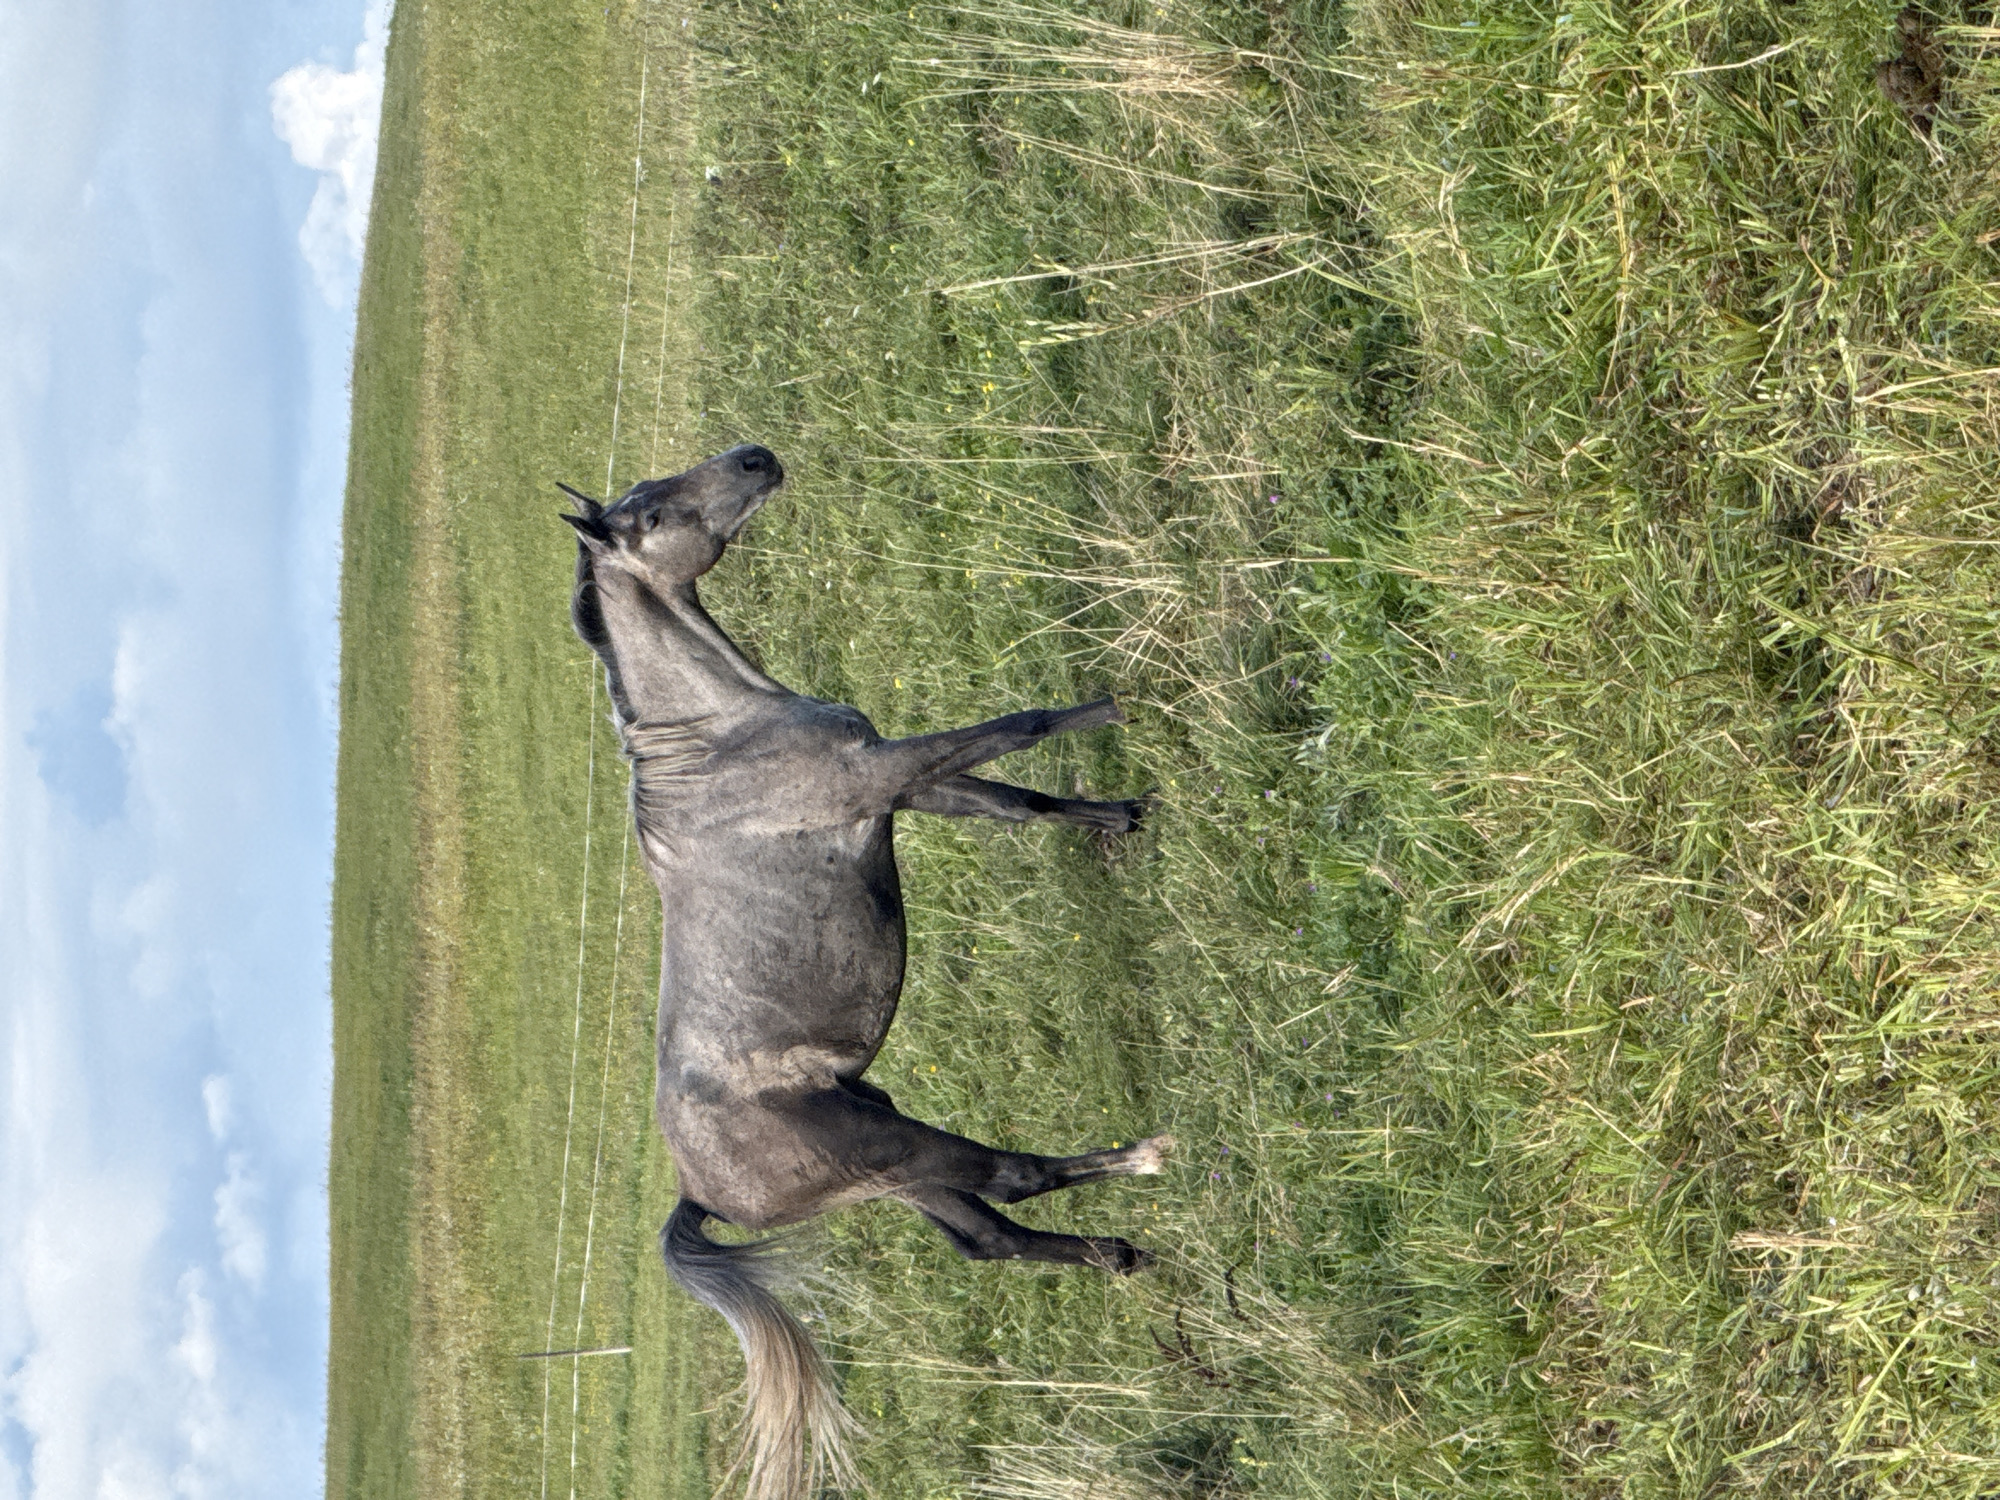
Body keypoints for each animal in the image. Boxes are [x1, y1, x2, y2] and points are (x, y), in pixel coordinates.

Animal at [558, 444, 1172, 1500]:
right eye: (653, 514)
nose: (755, 457)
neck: (720, 743)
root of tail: (700, 1188)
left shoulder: (905, 792)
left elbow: (1019, 801)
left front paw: (1119, 815)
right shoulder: (882, 775)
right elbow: (1021, 724)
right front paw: (1120, 697)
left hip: (887, 1157)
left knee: (991, 1236)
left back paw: (1116, 1253)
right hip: (900, 1151)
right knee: (1013, 1182)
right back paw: (1143, 1158)